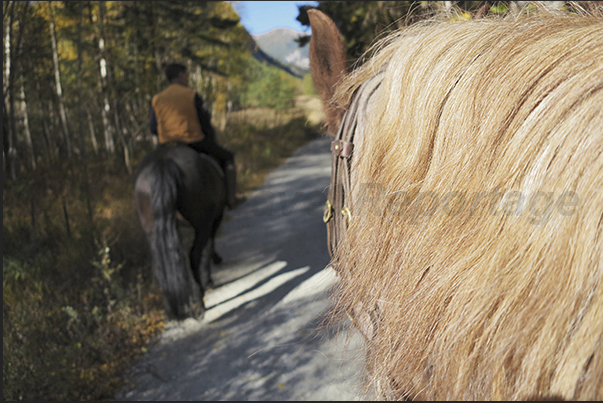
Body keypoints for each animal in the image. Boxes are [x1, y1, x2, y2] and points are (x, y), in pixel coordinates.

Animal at [133, 144, 225, 320]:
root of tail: (163, 162)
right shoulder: (213, 221)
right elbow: (208, 247)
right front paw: (208, 280)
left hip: (153, 231)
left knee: (161, 265)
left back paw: (171, 309)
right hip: (202, 224)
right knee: (193, 256)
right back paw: (198, 302)